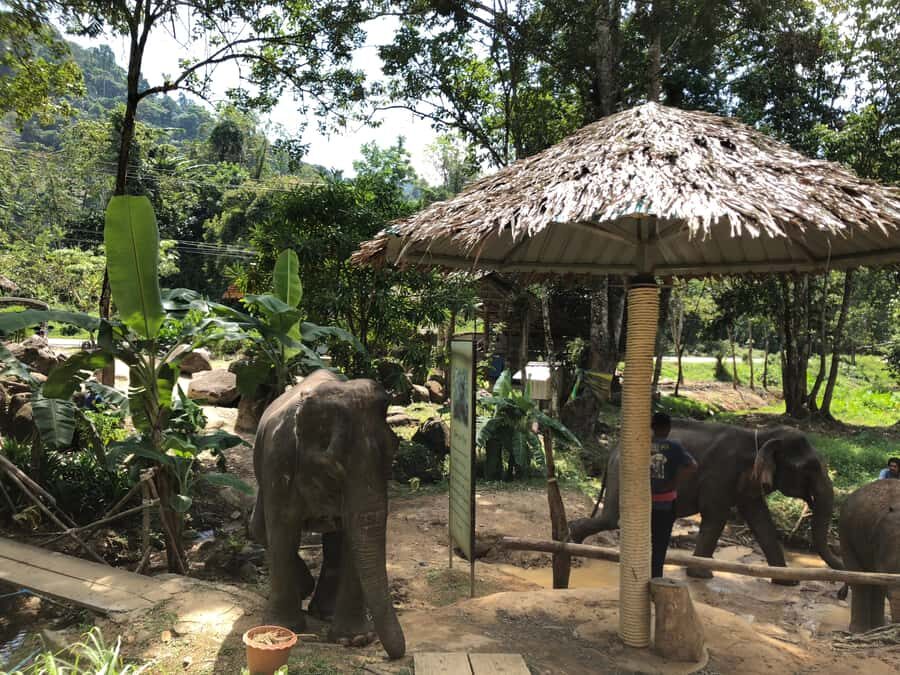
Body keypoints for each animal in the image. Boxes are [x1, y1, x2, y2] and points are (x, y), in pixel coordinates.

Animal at [249, 369, 406, 659]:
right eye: (332, 472)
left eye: (393, 455)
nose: (395, 654)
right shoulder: (278, 459)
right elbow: (283, 530)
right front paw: (285, 628)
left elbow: (350, 536)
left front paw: (354, 639)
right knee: (259, 529)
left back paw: (324, 612)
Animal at [569, 419, 843, 580]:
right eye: (808, 468)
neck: (761, 435)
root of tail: (613, 447)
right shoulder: (720, 473)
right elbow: (716, 514)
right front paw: (702, 575)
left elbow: (759, 518)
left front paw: (786, 581)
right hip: (625, 474)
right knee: (612, 518)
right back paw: (574, 542)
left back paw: (575, 543)